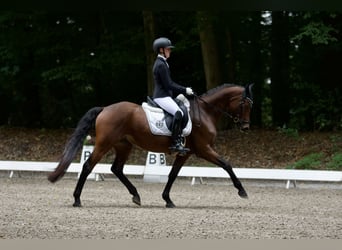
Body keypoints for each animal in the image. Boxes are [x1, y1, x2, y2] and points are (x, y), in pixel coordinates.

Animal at [49, 83, 255, 208]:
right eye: (245, 104)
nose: (246, 127)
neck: (205, 112)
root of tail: (105, 108)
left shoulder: (185, 153)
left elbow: (172, 174)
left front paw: (168, 199)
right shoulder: (204, 149)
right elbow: (226, 164)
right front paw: (242, 191)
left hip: (123, 145)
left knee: (117, 169)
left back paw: (136, 195)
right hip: (104, 144)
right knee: (88, 166)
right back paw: (77, 199)